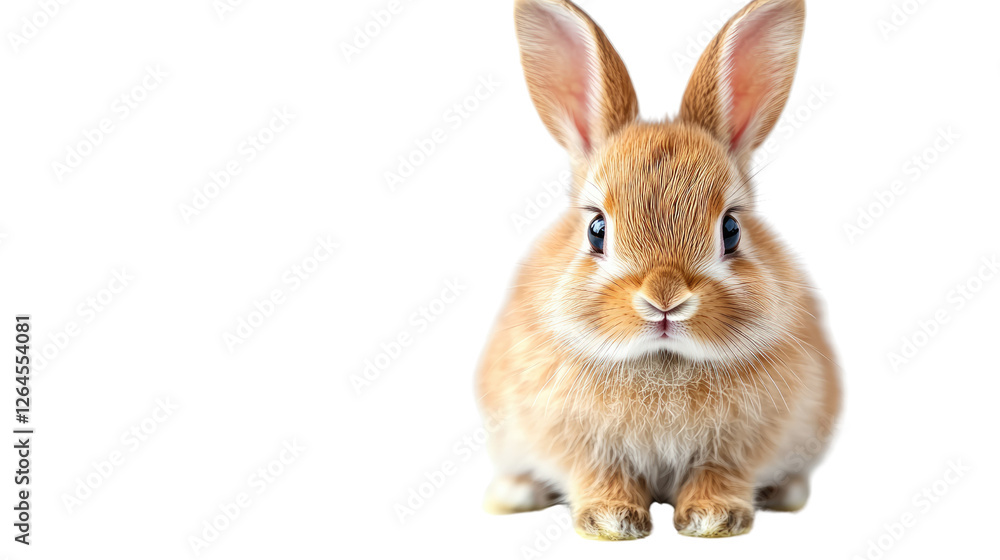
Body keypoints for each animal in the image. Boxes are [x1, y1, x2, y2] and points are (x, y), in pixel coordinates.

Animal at [475, 0, 841, 540]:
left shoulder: (743, 445)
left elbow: (720, 473)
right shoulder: (575, 442)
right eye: (597, 229)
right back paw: (512, 493)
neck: (662, 362)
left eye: (731, 229)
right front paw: (612, 520)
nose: (664, 299)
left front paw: (713, 519)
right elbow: (598, 472)